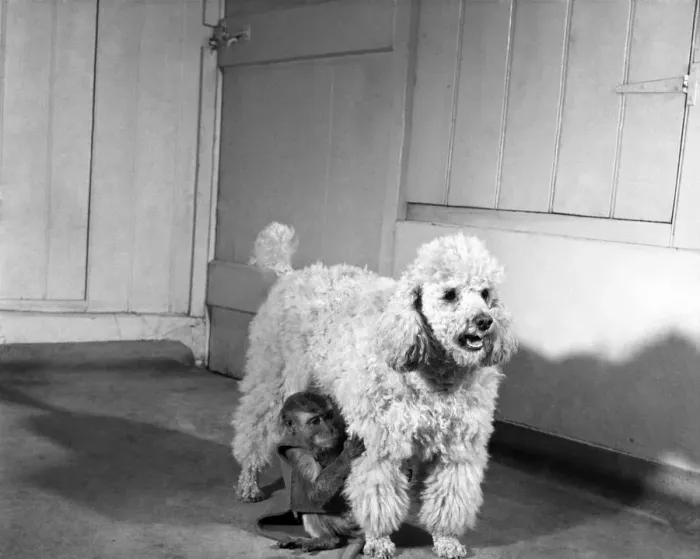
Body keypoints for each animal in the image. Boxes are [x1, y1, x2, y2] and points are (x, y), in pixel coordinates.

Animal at [274, 391, 366, 556]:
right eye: (315, 421)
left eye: (329, 416)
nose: (330, 429)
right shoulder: (297, 452)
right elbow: (315, 492)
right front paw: (348, 453)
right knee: (308, 505)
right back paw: (327, 540)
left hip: (350, 521)